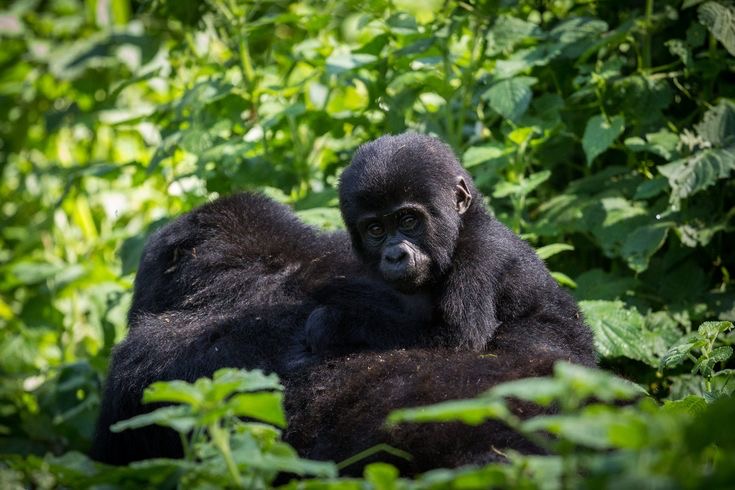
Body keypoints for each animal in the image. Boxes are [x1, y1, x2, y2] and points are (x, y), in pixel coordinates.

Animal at [308, 132, 596, 366]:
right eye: (375, 229)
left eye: (409, 221)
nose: (395, 256)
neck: (462, 227)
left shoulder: (480, 256)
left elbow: (458, 342)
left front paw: (338, 321)